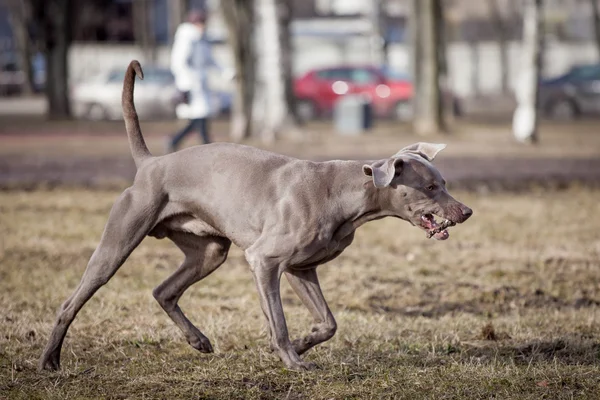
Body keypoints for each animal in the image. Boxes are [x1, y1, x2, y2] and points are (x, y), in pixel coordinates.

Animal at [41, 60, 474, 372]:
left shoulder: (301, 268)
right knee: (70, 303)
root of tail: (151, 163)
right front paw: (292, 359)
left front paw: (301, 343)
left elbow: (328, 323)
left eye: (444, 182)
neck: (345, 193)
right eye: (430, 188)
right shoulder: (265, 260)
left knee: (163, 290)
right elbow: (278, 321)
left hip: (209, 252)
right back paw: (50, 361)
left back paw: (198, 341)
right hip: (117, 245)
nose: (466, 211)